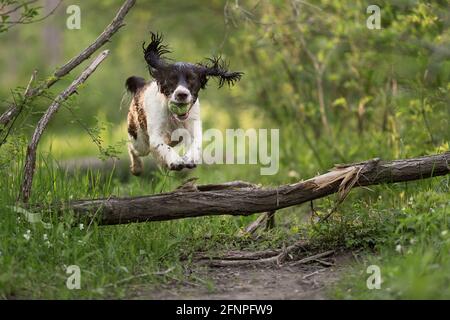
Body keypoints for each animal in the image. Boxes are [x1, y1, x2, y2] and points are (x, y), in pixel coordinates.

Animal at [123, 32, 243, 175]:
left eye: (192, 79)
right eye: (172, 80)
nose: (182, 94)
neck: (173, 116)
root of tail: (141, 85)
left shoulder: (193, 127)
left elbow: (195, 143)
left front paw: (190, 158)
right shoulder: (156, 135)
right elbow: (163, 146)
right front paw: (175, 161)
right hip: (140, 140)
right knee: (132, 147)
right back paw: (137, 167)